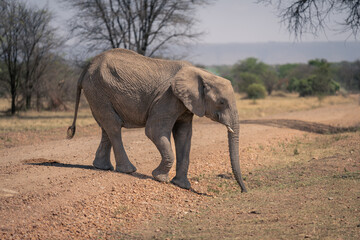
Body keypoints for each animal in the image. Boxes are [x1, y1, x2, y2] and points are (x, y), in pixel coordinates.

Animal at [67, 47, 248, 192]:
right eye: (222, 102)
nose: (243, 191)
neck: (202, 74)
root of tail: (88, 65)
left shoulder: (185, 103)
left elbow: (184, 135)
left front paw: (182, 185)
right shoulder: (168, 97)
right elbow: (154, 131)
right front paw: (160, 178)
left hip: (98, 92)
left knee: (106, 126)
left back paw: (102, 167)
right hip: (97, 89)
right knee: (113, 126)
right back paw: (128, 170)